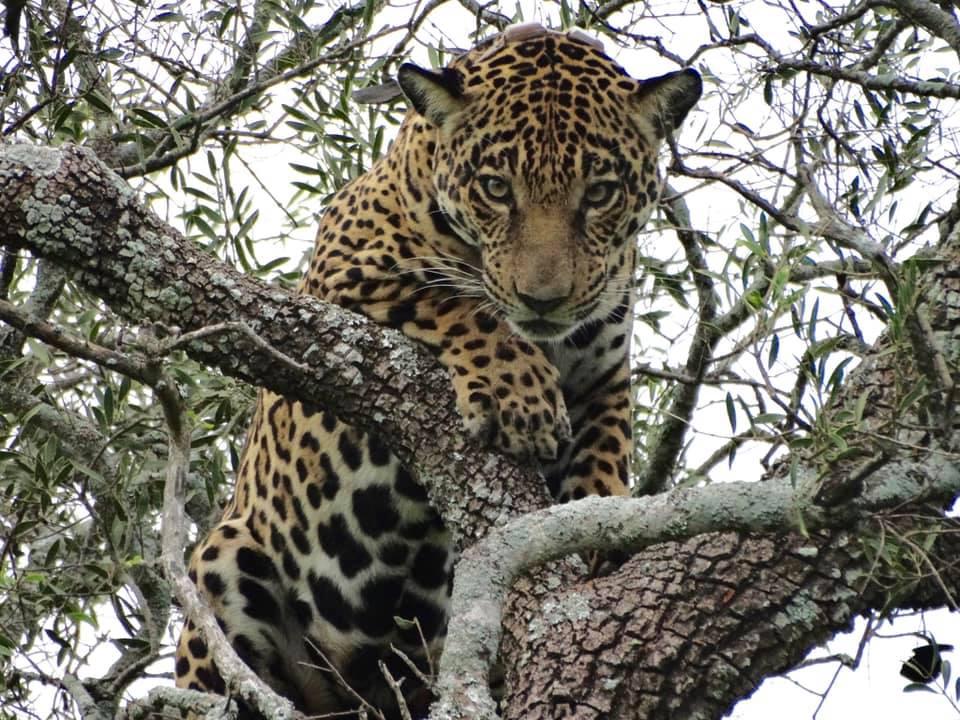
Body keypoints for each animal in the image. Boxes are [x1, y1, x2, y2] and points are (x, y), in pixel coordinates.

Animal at [174, 22, 701, 719]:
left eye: (600, 193)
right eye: (497, 188)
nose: (544, 299)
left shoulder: (605, 376)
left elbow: (607, 457)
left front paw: (596, 540)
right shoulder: (340, 280)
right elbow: (461, 306)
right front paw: (522, 401)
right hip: (226, 561)